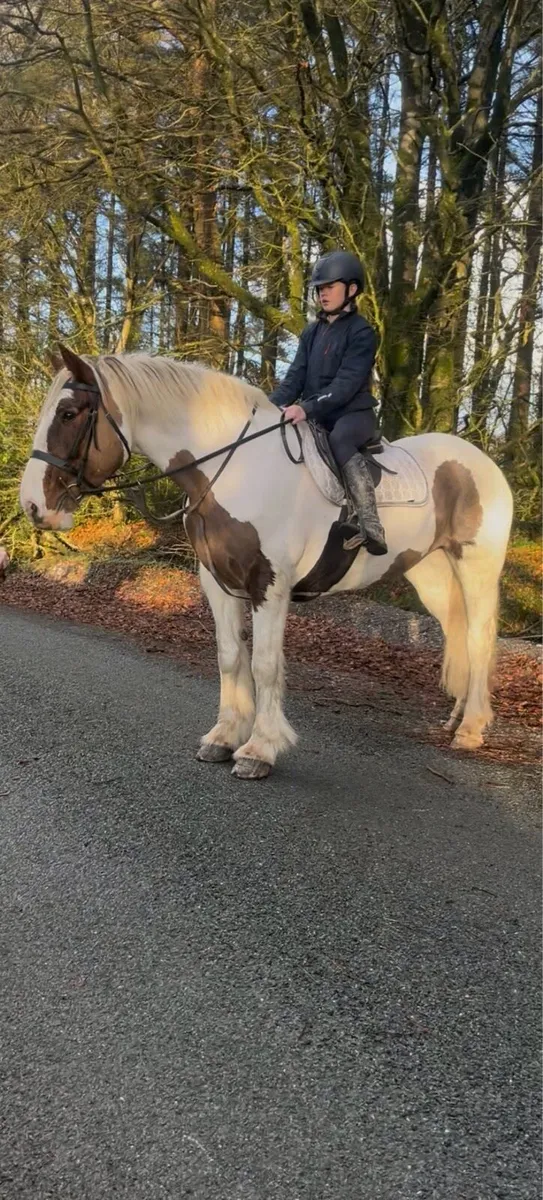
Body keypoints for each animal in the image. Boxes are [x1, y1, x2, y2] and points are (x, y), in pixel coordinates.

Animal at [20, 345, 513, 779]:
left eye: (68, 413)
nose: (32, 506)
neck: (233, 469)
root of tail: (479, 462)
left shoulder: (269, 586)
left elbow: (265, 665)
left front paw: (260, 749)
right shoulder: (218, 584)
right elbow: (229, 656)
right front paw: (223, 737)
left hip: (477, 566)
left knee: (479, 636)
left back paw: (471, 729)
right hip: (429, 572)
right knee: (457, 632)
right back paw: (456, 718)